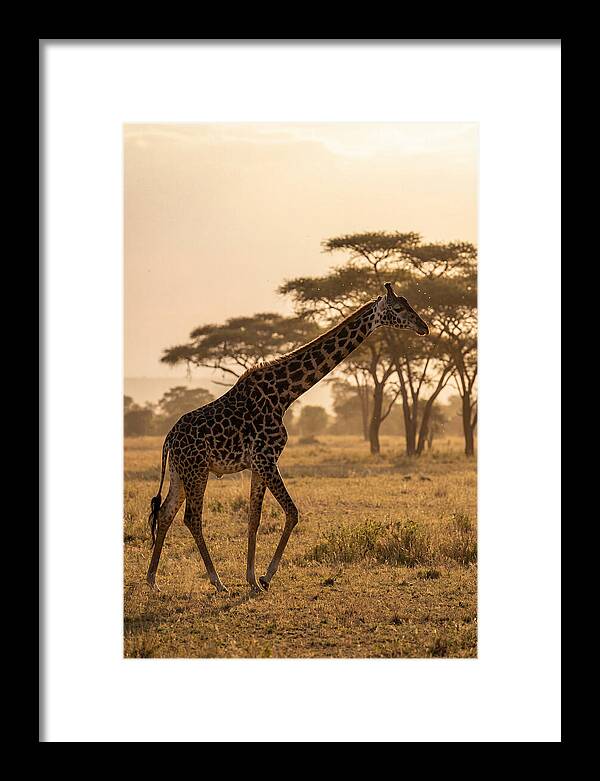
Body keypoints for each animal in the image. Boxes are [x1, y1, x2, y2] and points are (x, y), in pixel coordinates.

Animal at [146, 282, 429, 594]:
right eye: (399, 308)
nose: (424, 327)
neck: (284, 394)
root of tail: (169, 438)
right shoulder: (267, 458)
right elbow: (292, 512)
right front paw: (266, 577)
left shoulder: (258, 464)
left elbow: (254, 518)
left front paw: (252, 579)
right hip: (197, 470)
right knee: (192, 518)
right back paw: (217, 582)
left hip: (180, 472)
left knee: (165, 512)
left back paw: (152, 580)